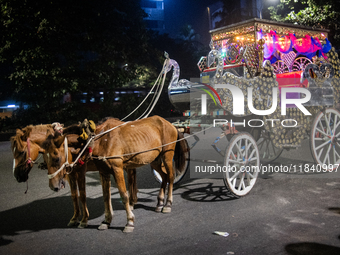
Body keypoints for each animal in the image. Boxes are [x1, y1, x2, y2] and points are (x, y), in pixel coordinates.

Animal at [43, 115, 187, 233]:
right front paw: (106, 221)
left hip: (167, 156)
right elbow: (105, 197)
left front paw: (129, 222)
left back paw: (167, 204)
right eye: (45, 159)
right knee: (164, 176)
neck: (99, 140)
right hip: (154, 159)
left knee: (171, 176)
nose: (53, 186)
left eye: (56, 159)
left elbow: (123, 196)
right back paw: (159, 203)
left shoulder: (116, 169)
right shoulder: (103, 172)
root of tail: (169, 123)